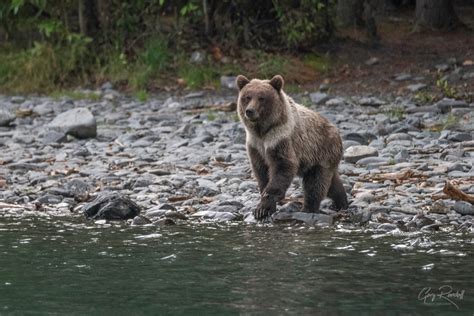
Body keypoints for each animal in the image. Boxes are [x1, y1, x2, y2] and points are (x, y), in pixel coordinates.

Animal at [237, 75, 348, 221]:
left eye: (261, 98)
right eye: (247, 97)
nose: (250, 111)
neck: (263, 131)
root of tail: (336, 130)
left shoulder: (280, 138)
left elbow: (283, 165)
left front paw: (263, 207)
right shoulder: (255, 144)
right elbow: (261, 170)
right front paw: (263, 202)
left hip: (321, 154)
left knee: (316, 183)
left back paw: (308, 208)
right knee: (332, 184)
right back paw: (341, 202)